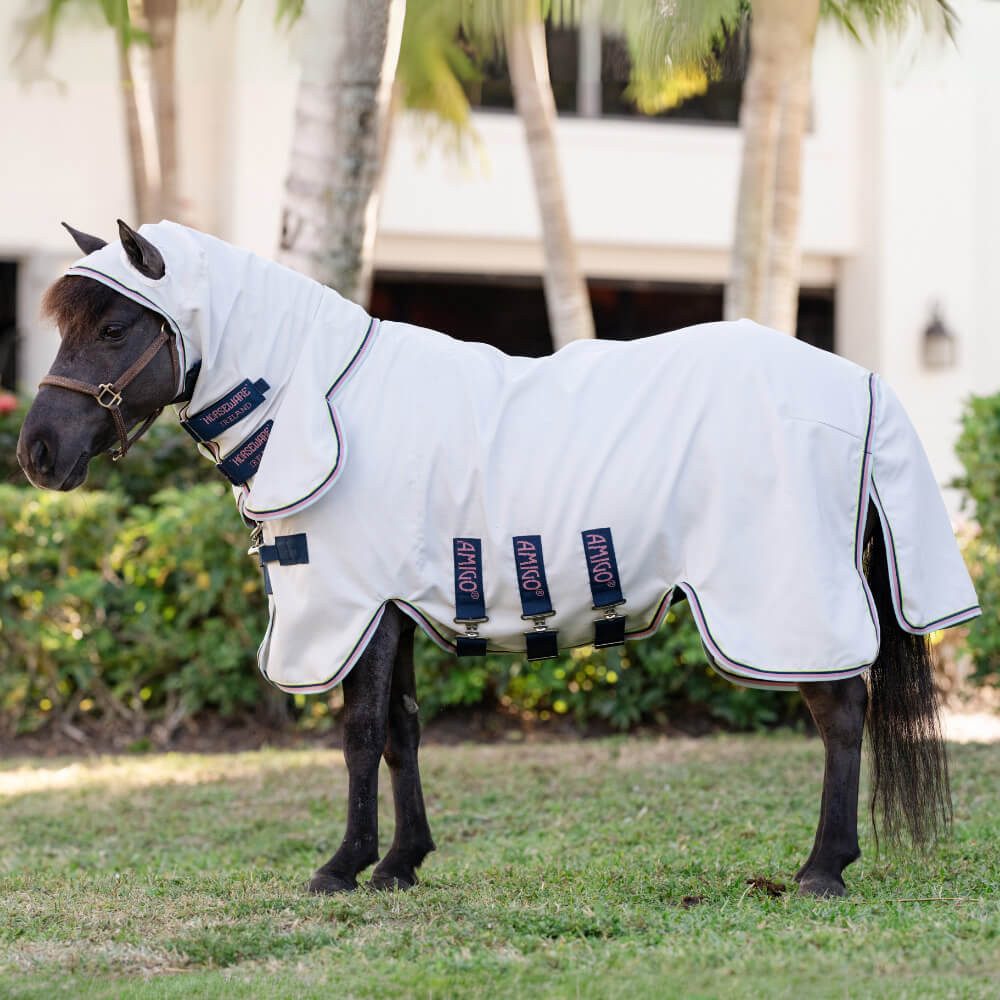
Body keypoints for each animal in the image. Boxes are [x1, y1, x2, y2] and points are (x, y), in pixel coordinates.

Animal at [17, 219, 978, 898]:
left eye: (113, 326)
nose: (36, 453)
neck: (320, 402)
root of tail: (855, 380)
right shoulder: (395, 606)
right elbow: (401, 731)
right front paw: (401, 863)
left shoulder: (356, 605)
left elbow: (359, 735)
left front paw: (342, 866)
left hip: (782, 601)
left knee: (840, 713)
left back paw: (823, 868)